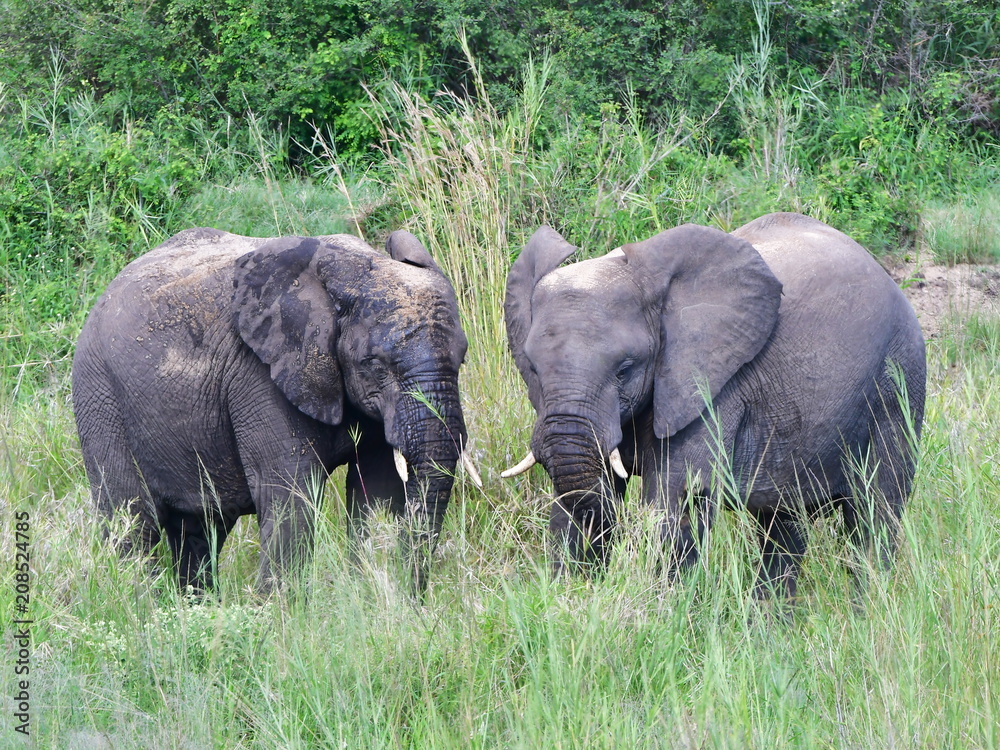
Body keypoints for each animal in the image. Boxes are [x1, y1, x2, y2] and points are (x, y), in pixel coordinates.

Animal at [71, 226, 480, 596]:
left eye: (462, 359)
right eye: (376, 365)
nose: (413, 601)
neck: (350, 270)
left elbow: (376, 488)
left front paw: (369, 597)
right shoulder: (260, 374)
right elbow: (290, 492)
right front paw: (282, 616)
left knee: (199, 530)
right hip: (99, 396)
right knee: (131, 522)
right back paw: (143, 607)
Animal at [504, 212, 924, 600]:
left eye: (625, 369)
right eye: (534, 369)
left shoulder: (712, 384)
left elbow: (678, 500)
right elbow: (574, 505)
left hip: (899, 381)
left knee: (874, 516)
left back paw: (866, 611)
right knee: (783, 528)